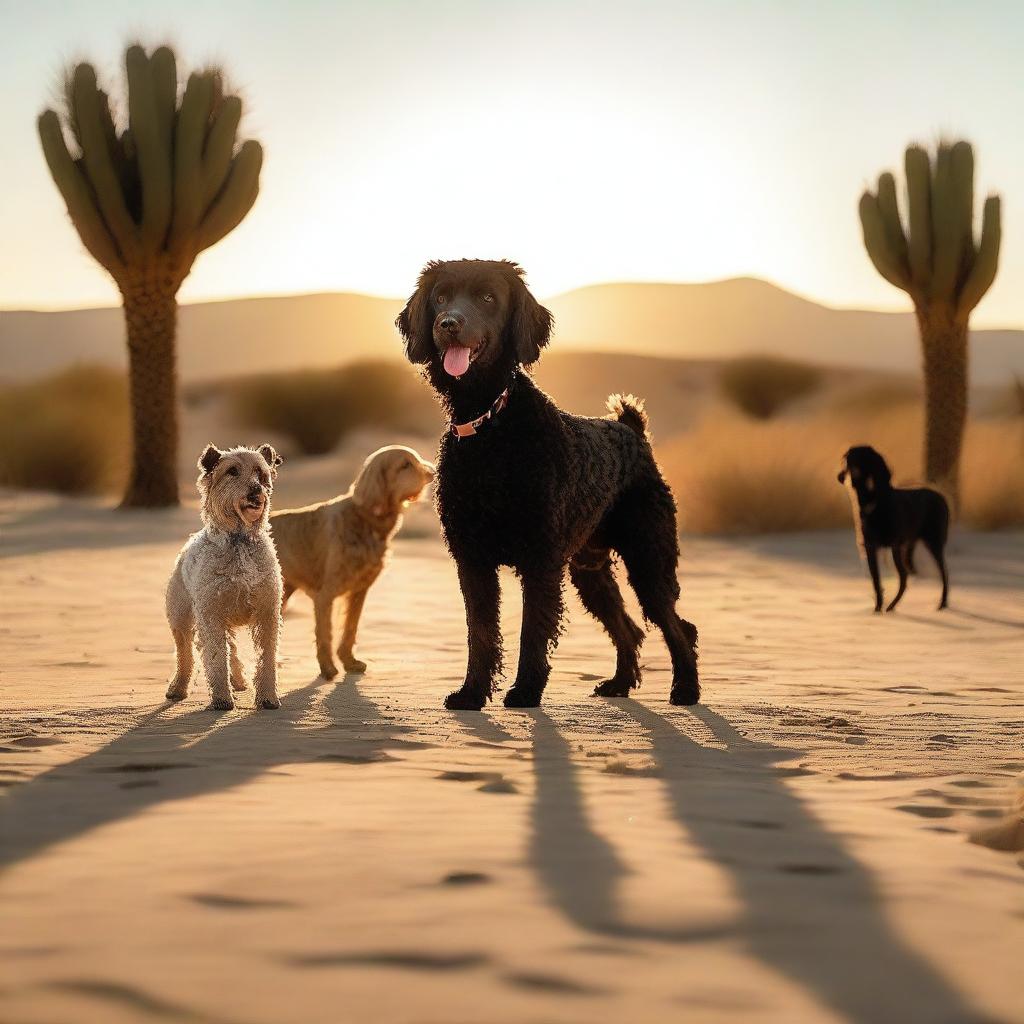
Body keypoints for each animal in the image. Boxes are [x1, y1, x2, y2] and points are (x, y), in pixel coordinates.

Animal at [165, 444, 284, 708]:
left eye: (260, 473)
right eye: (232, 471)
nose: (256, 489)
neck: (239, 541)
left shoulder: (267, 612)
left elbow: (267, 657)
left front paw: (268, 698)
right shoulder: (210, 614)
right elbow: (216, 657)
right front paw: (221, 699)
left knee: (232, 649)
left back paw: (238, 681)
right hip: (180, 618)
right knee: (185, 655)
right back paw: (178, 688)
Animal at [272, 442, 432, 675]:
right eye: (405, 465)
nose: (433, 473)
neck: (365, 519)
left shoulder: (359, 591)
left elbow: (350, 627)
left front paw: (349, 661)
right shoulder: (325, 595)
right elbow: (326, 632)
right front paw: (328, 667)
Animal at [395, 256, 700, 708]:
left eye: (488, 298)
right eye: (441, 297)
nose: (448, 323)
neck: (490, 425)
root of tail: (632, 431)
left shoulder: (539, 561)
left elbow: (532, 631)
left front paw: (525, 690)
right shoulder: (472, 559)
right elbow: (480, 633)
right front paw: (472, 693)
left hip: (648, 558)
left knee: (678, 627)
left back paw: (686, 689)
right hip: (589, 569)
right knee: (629, 627)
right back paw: (619, 684)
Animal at [839, 446, 950, 610]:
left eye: (853, 464)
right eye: (846, 461)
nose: (839, 477)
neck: (874, 503)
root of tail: (941, 498)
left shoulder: (893, 544)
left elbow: (900, 578)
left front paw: (886, 608)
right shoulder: (870, 546)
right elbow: (876, 581)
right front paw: (877, 610)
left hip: (933, 542)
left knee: (942, 573)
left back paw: (941, 604)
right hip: (911, 543)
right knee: (910, 570)